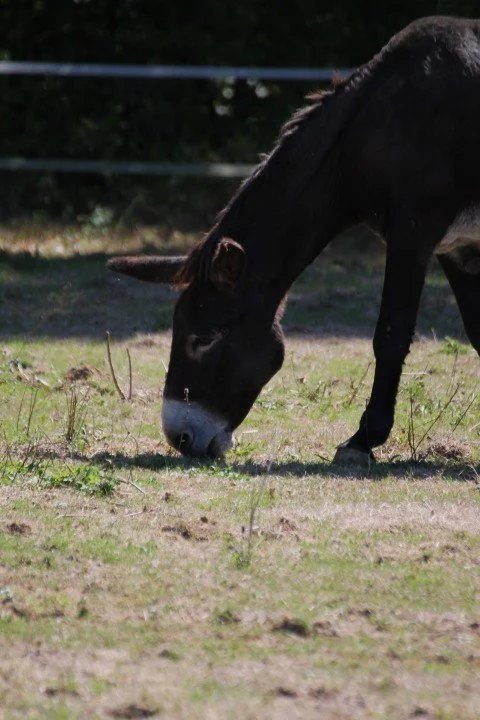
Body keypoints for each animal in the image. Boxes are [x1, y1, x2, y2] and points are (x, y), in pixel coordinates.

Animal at [107, 16, 480, 464]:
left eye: (205, 337)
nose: (179, 439)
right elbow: (478, 332)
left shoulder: (413, 233)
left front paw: (362, 441)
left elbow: (390, 335)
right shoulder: (455, 248)